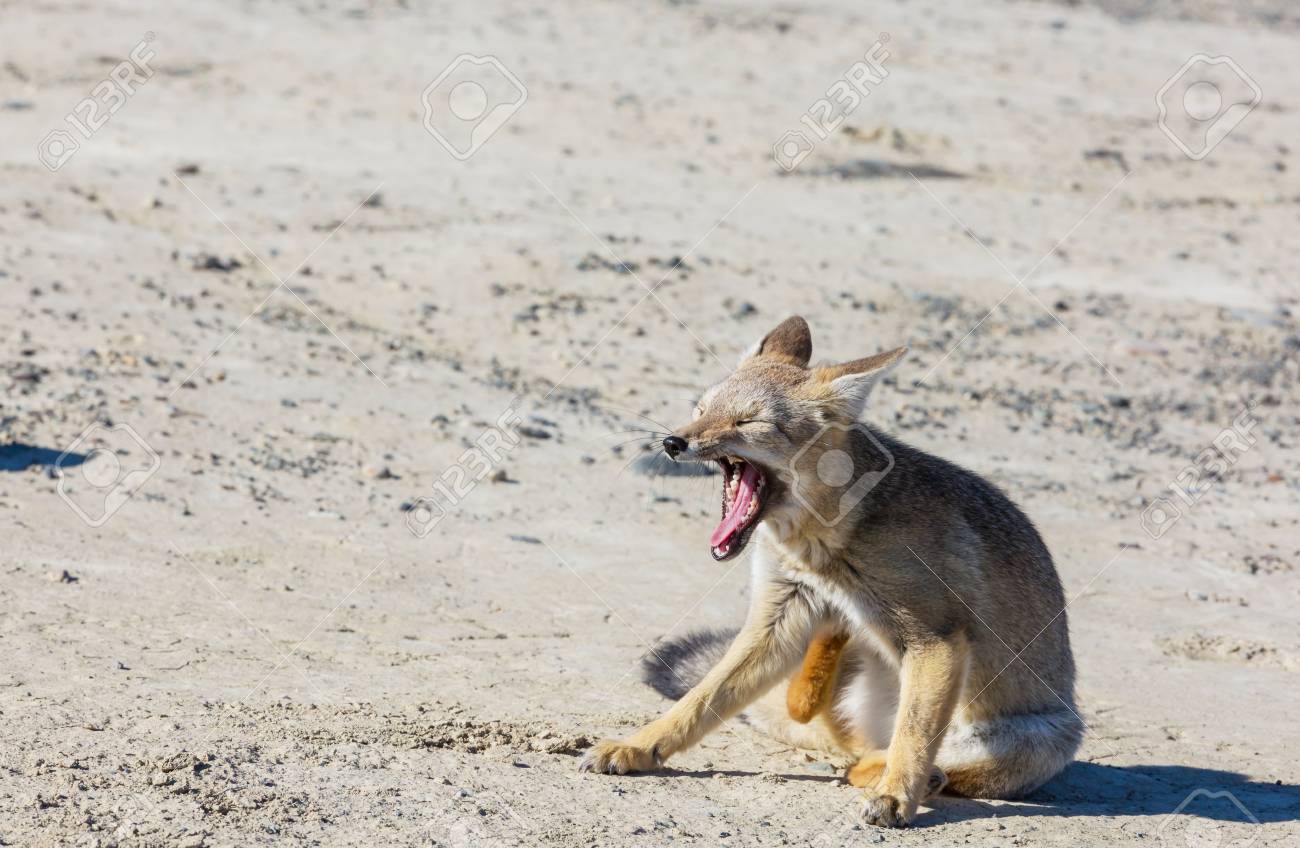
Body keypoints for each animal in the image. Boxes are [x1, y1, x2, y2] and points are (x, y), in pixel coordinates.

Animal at [580, 315, 1082, 827]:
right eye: (701, 410)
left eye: (748, 421)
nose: (672, 442)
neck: (823, 550)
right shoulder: (779, 616)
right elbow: (697, 702)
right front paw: (637, 747)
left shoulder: (938, 639)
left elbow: (914, 738)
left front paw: (896, 796)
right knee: (824, 724)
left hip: (1027, 738)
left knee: (898, 757)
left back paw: (900, 774)